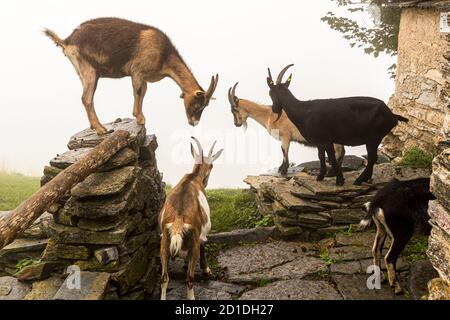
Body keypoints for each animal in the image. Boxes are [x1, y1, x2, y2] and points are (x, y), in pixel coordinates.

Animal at [44, 16, 218, 134]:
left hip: (81, 72)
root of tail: (67, 41)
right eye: (198, 104)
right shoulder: (138, 72)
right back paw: (101, 129)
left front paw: (140, 117)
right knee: (86, 98)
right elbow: (138, 92)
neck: (164, 56)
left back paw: (95, 126)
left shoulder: (143, 76)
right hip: (90, 70)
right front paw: (139, 118)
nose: (194, 123)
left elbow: (143, 92)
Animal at [158, 137, 223, 300]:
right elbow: (204, 245)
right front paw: (206, 270)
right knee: (189, 278)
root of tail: (178, 221)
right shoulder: (202, 233)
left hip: (164, 242)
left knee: (164, 278)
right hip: (193, 240)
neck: (193, 177)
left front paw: (185, 263)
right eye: (212, 165)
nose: (206, 181)